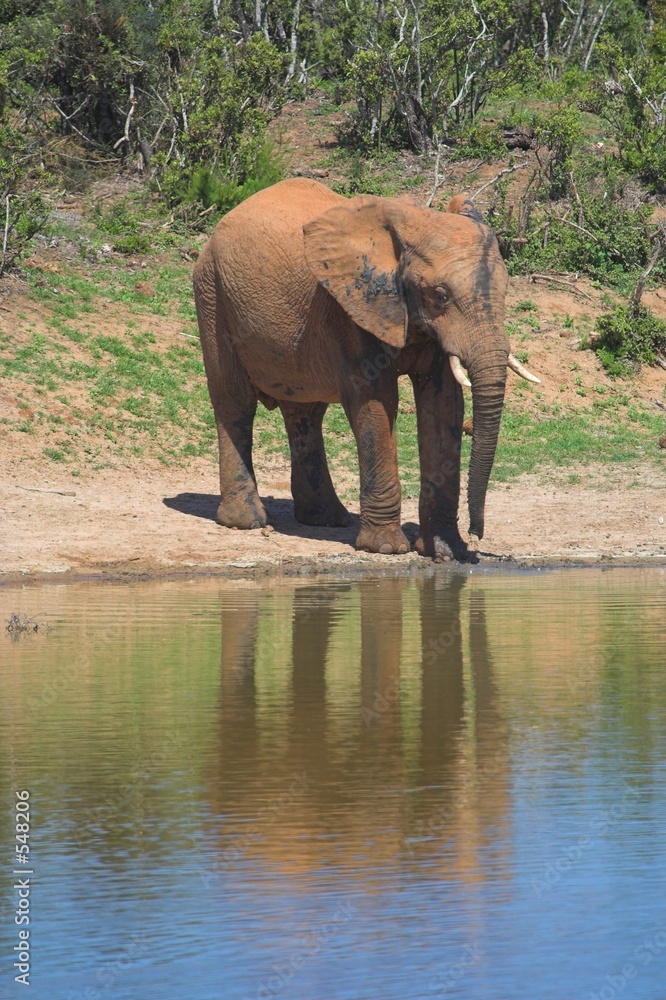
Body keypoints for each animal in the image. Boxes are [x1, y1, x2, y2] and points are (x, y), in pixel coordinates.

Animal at [193, 178, 539, 560]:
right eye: (441, 295)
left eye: (504, 292)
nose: (478, 535)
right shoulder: (352, 306)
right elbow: (376, 400)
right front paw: (387, 548)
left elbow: (443, 404)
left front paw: (445, 551)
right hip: (212, 294)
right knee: (234, 402)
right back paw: (248, 521)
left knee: (304, 413)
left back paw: (326, 520)